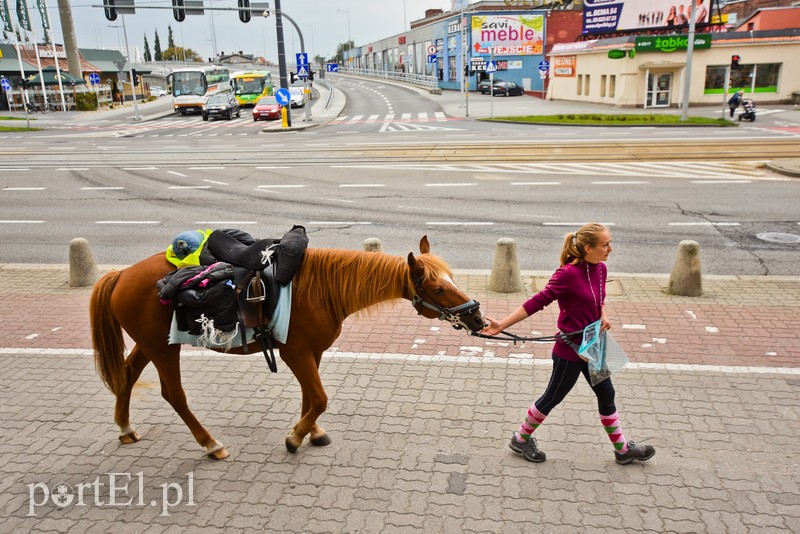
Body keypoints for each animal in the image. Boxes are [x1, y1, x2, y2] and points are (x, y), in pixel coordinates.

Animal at [90, 238, 484, 460]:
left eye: (451, 279)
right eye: (438, 288)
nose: (478, 318)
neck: (319, 289)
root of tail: (120, 275)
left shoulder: (312, 352)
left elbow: (310, 397)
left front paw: (311, 431)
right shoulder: (294, 353)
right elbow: (320, 398)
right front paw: (295, 437)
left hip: (150, 345)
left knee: (127, 375)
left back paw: (125, 427)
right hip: (162, 350)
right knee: (174, 395)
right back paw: (211, 444)